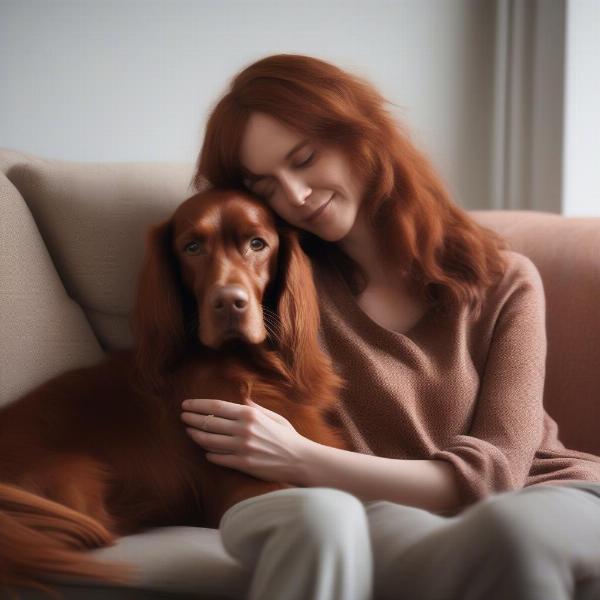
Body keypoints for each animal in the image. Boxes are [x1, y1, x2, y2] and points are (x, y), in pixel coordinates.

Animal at [0, 190, 350, 592]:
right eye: (192, 247)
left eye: (257, 243)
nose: (229, 303)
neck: (246, 364)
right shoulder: (245, 491)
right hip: (74, 478)